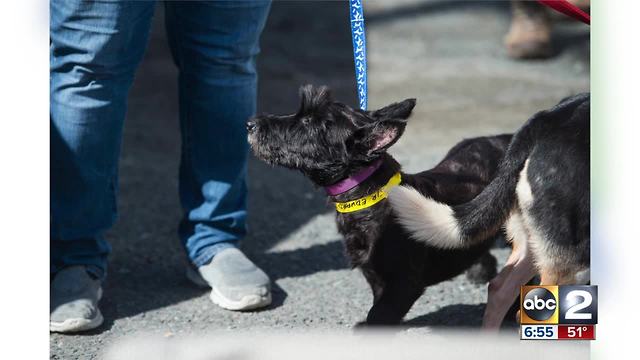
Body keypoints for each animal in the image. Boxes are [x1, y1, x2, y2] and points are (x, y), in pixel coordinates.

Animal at [248, 86, 512, 324]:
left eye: (308, 122)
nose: (250, 124)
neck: (369, 196)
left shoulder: (404, 284)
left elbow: (377, 316)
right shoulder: (376, 278)